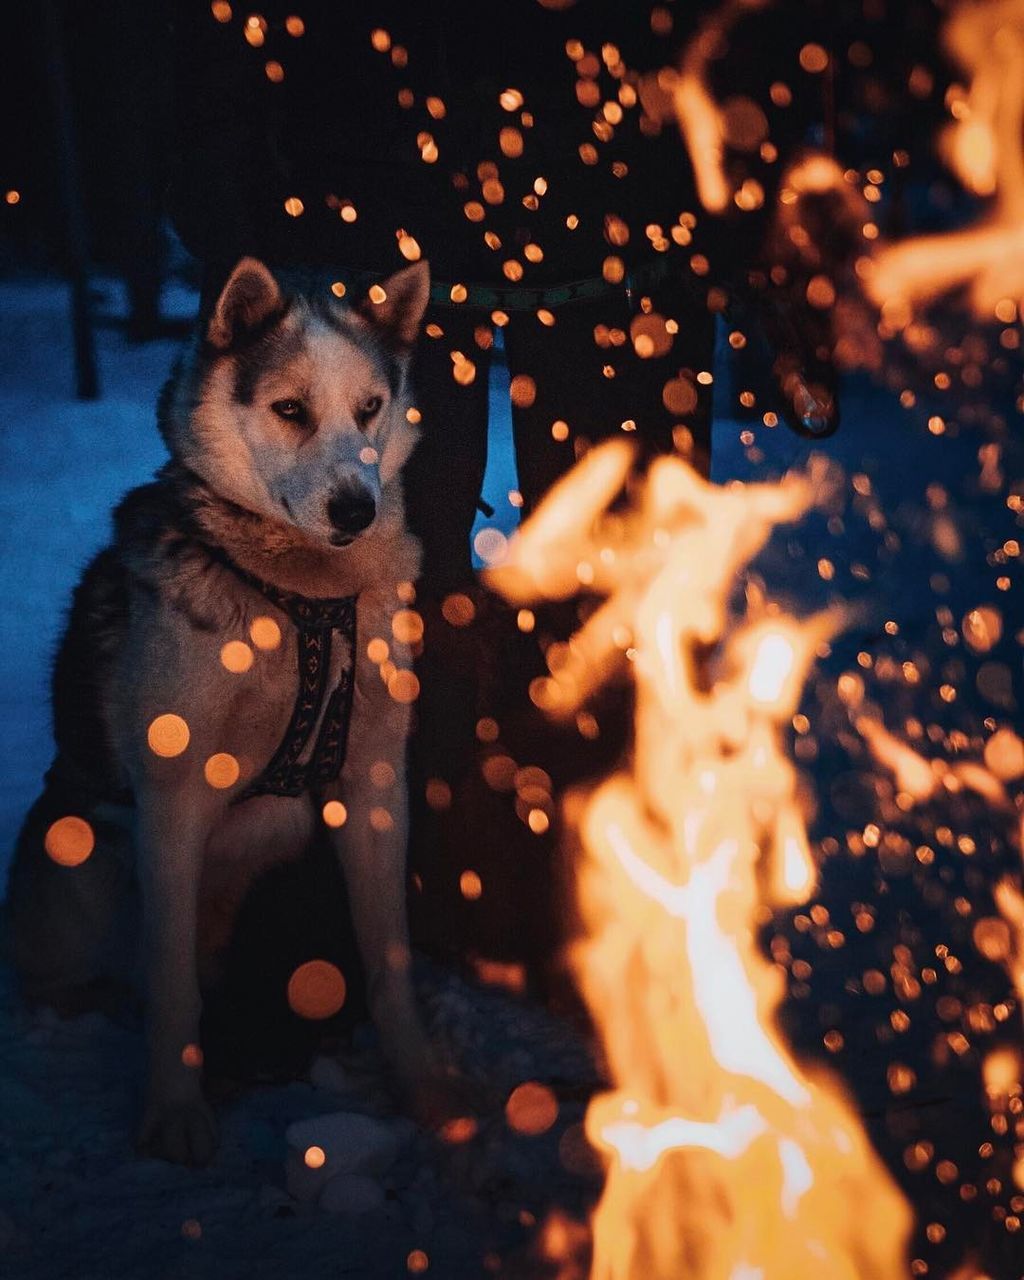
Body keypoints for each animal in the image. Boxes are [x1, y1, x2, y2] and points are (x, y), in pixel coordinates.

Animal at [7, 257, 440, 1162]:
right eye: (290, 410)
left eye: (369, 408)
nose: (357, 508)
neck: (299, 599)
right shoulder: (174, 801)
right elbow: (171, 983)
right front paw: (174, 1111)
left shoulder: (375, 785)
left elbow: (388, 960)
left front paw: (423, 1086)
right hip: (81, 864)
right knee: (81, 971)